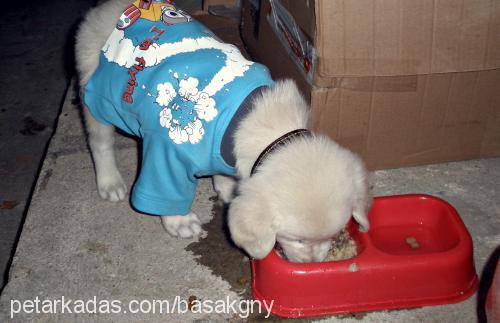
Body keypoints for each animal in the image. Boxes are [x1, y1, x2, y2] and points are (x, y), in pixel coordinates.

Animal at [75, 0, 372, 264]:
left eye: (334, 234)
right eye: (297, 239)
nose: (313, 263)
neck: (259, 120)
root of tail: (108, 10)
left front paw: (227, 188)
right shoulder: (166, 155)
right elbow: (166, 193)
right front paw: (179, 222)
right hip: (98, 99)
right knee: (99, 142)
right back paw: (110, 182)